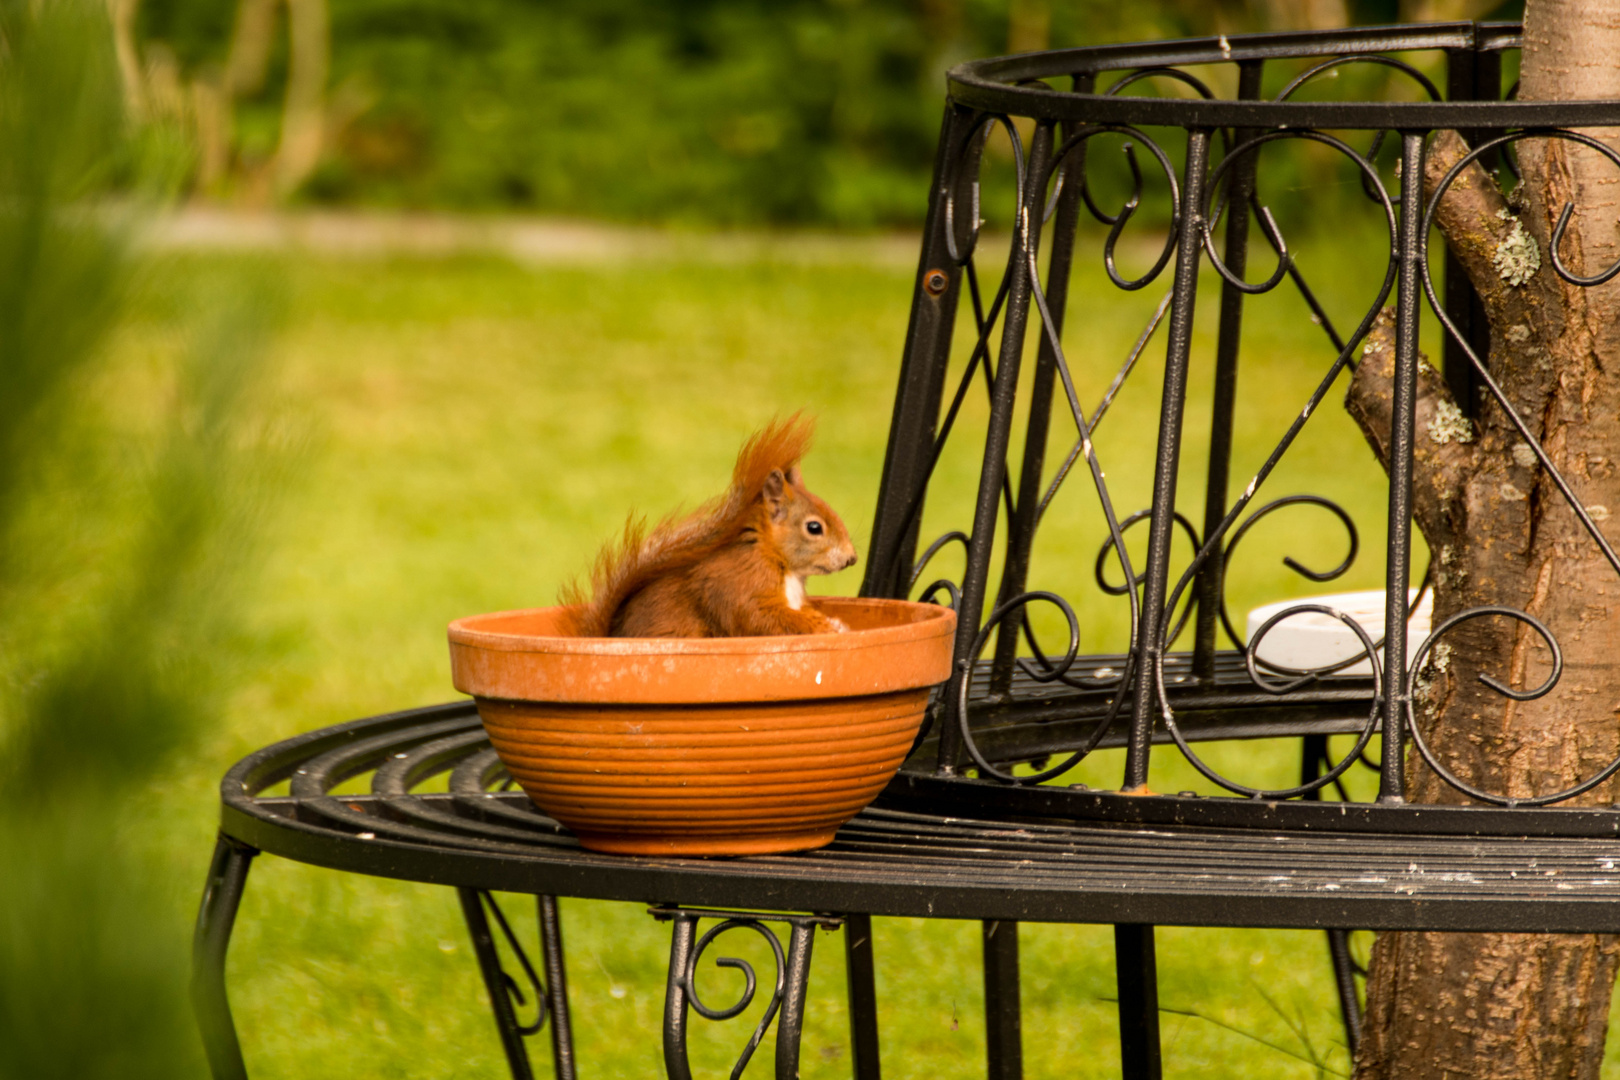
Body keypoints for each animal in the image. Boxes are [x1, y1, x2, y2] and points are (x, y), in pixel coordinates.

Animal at [560, 417, 861, 637]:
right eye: (814, 527)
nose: (851, 558)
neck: (779, 562)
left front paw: (834, 622)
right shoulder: (741, 584)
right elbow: (761, 616)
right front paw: (824, 626)